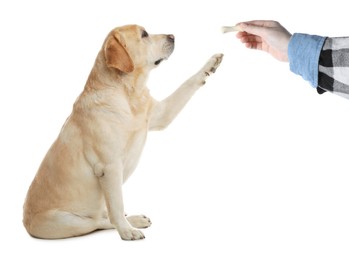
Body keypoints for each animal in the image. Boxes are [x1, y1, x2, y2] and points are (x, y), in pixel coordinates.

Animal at [22, 24, 223, 240]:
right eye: (144, 34)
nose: (173, 36)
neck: (129, 94)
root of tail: (25, 223)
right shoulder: (110, 167)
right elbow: (117, 206)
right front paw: (127, 232)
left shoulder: (161, 114)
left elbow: (187, 84)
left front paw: (211, 64)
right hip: (66, 221)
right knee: (100, 221)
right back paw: (130, 224)